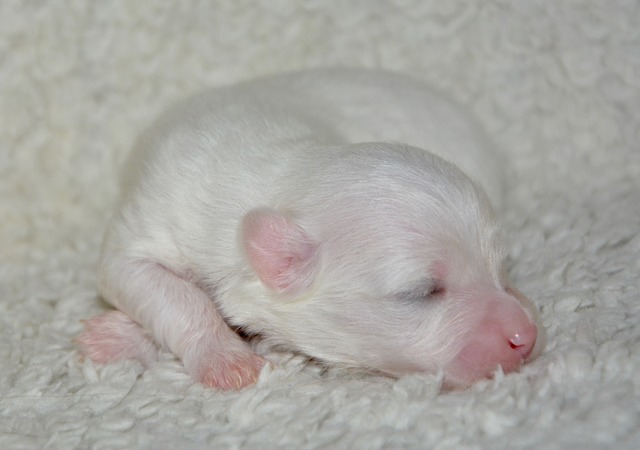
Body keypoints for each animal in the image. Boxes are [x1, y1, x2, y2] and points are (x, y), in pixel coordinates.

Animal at [77, 68, 544, 388]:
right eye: (422, 292)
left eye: (500, 268)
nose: (526, 336)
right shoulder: (152, 219)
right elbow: (168, 291)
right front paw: (225, 359)